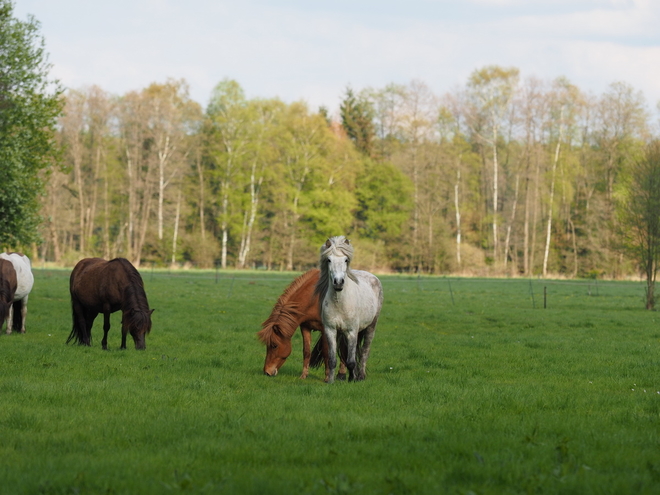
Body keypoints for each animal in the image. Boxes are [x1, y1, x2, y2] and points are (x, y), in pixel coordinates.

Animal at [314, 236, 382, 384]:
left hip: (371, 327)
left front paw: (352, 379)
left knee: (364, 352)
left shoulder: (352, 332)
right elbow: (333, 359)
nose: (338, 282)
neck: (340, 302)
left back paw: (361, 376)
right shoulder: (331, 330)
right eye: (329, 260)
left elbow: (351, 361)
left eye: (345, 260)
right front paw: (330, 381)